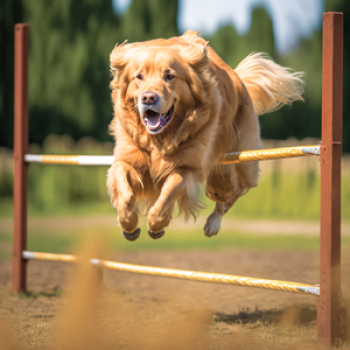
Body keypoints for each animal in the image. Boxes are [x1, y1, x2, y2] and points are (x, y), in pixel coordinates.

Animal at [106, 30, 304, 241]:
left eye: (170, 76)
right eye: (139, 76)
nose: (148, 98)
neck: (160, 139)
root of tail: (238, 80)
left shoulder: (188, 166)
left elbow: (169, 190)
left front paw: (156, 223)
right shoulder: (128, 158)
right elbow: (123, 185)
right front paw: (128, 223)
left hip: (242, 164)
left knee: (234, 192)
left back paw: (213, 224)